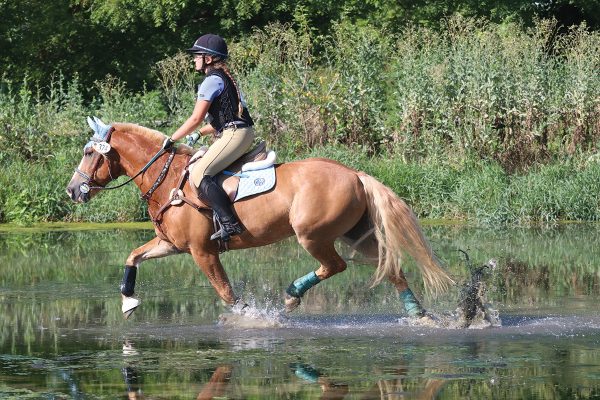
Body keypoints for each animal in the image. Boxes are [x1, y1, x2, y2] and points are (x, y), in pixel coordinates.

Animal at [65, 117, 454, 320]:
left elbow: (226, 293)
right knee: (391, 268)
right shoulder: (171, 244)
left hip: (313, 234)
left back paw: (292, 296)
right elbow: (133, 256)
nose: (72, 191)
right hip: (355, 234)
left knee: (336, 266)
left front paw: (249, 318)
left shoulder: (202, 252)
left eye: (89, 153)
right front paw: (128, 300)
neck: (169, 178)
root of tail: (355, 174)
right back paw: (418, 314)